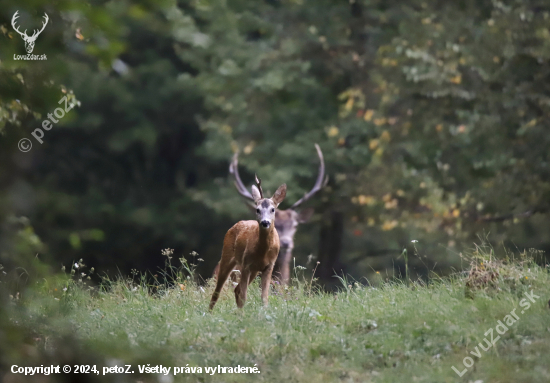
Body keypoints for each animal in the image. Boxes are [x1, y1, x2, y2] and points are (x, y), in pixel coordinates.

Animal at [210, 177, 288, 312]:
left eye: (273, 209)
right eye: (257, 209)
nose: (265, 222)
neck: (262, 252)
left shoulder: (269, 266)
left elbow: (264, 297)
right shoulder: (246, 264)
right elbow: (244, 295)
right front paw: (242, 315)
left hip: (254, 270)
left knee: (236, 289)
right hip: (227, 257)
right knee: (218, 290)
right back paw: (209, 312)